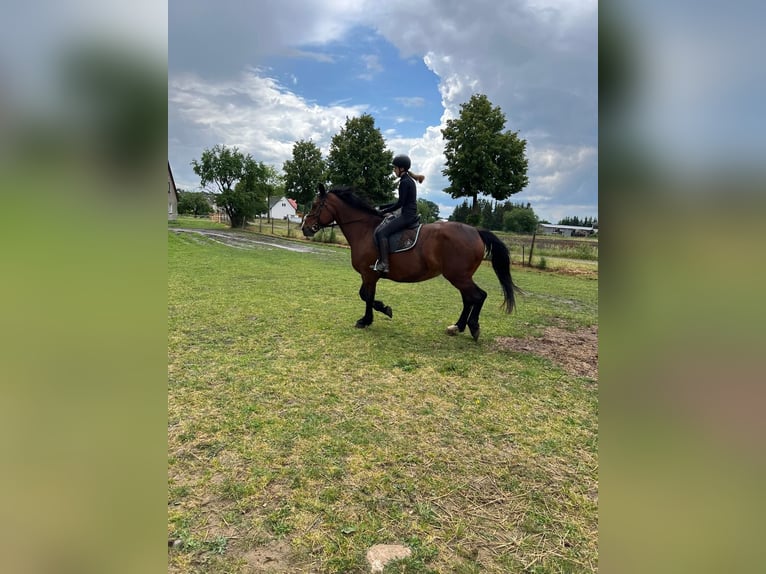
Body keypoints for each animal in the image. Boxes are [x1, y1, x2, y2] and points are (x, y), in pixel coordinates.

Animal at [300, 184, 520, 340]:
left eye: (315, 205)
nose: (305, 228)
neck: (364, 230)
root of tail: (476, 231)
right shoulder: (370, 275)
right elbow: (366, 296)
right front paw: (383, 310)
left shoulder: (369, 274)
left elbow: (366, 296)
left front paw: (367, 319)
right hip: (460, 277)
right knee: (469, 299)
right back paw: (457, 327)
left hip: (458, 276)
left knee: (479, 296)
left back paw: (473, 327)